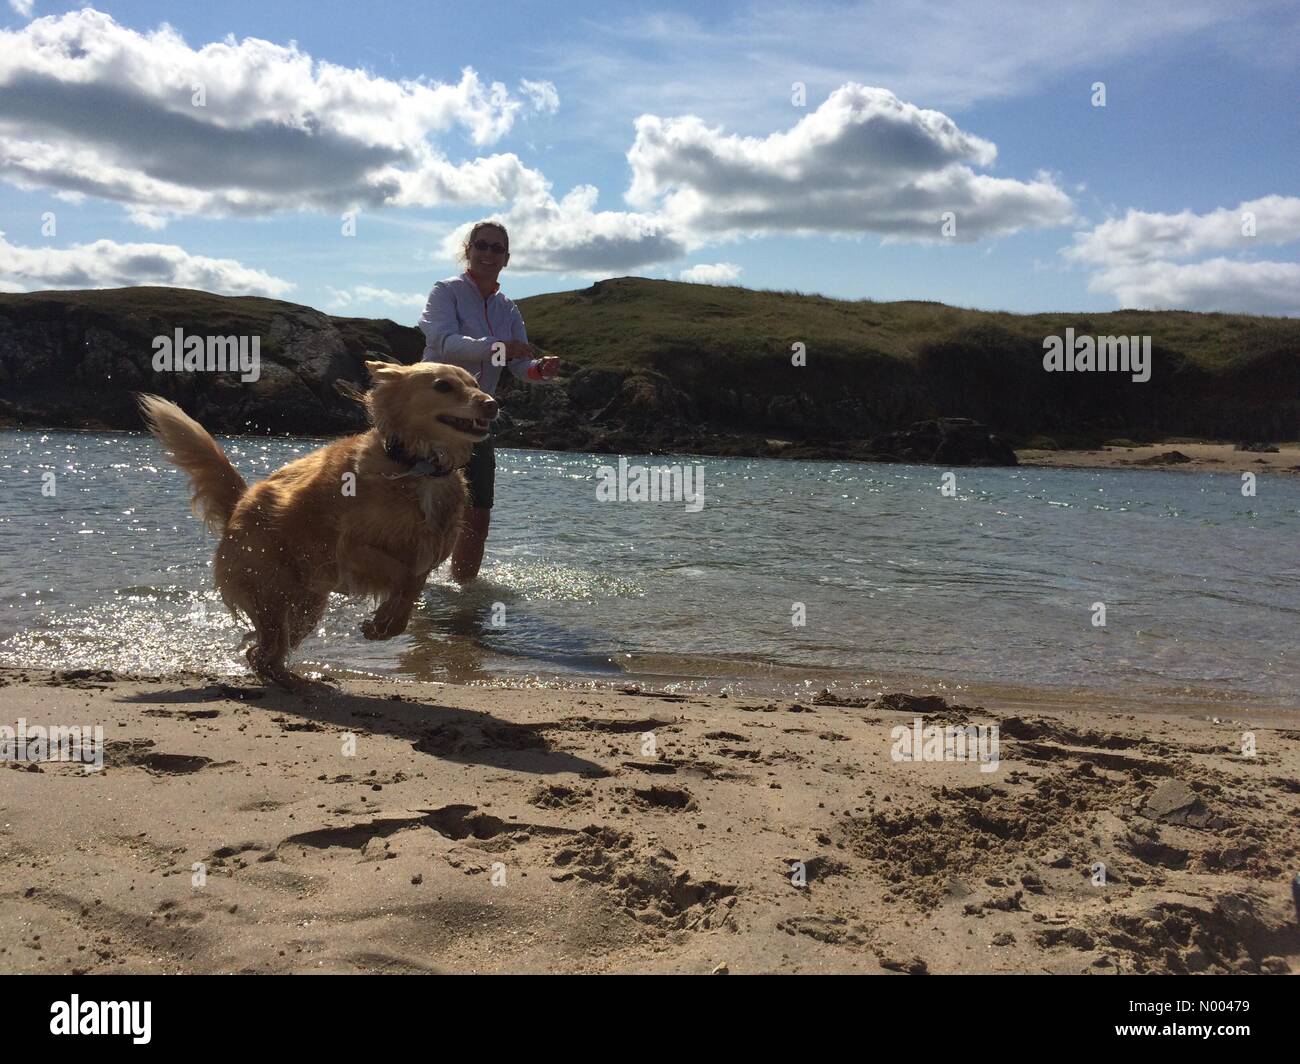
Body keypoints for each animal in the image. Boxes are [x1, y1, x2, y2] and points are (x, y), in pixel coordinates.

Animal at [134, 356, 493, 686]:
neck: (416, 465)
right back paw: (293, 681)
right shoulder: (352, 547)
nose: (492, 403)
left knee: (261, 652)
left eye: (475, 383)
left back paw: (294, 677)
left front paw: (386, 625)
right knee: (264, 648)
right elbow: (402, 576)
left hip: (306, 608)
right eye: (443, 386)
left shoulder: (428, 552)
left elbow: (412, 587)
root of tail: (238, 505)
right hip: (271, 593)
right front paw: (380, 622)